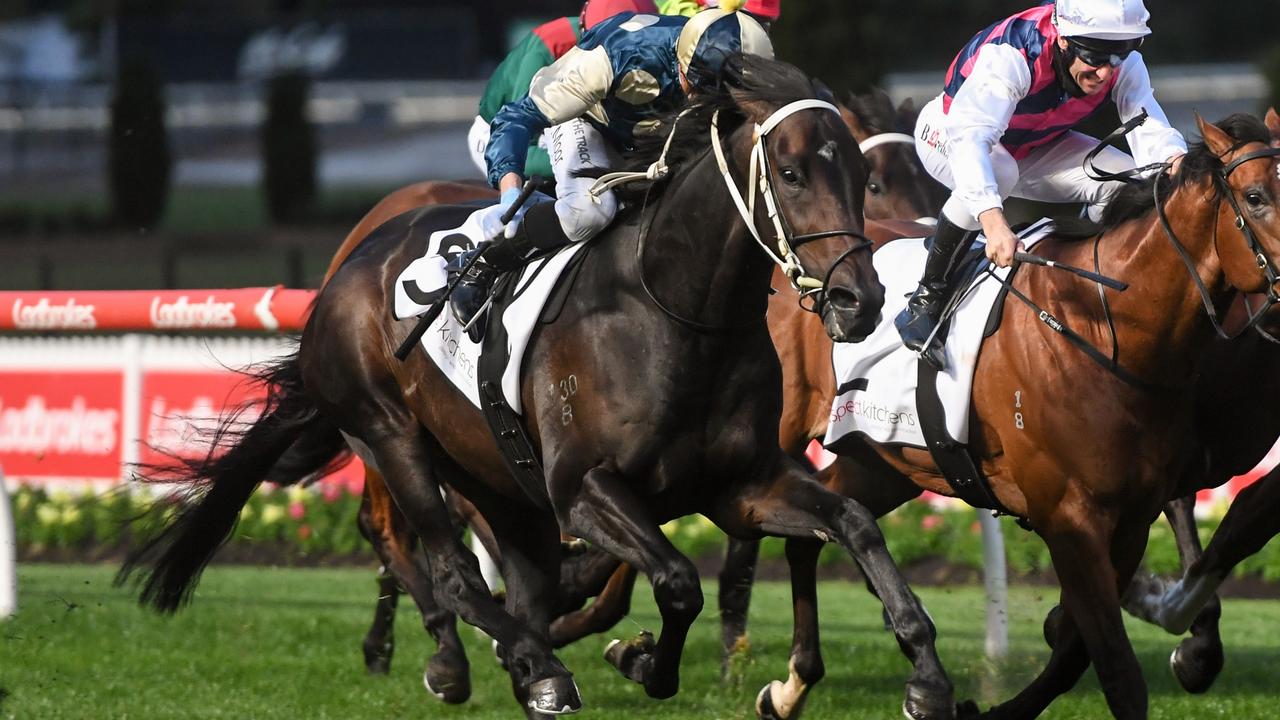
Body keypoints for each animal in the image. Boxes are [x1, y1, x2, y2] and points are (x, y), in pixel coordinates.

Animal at [117, 57, 967, 717]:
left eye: (859, 174)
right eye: (790, 173)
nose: (863, 299)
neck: (680, 314)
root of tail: (347, 267)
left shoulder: (743, 483)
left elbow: (852, 525)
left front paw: (926, 675)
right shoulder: (583, 488)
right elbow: (676, 579)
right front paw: (643, 661)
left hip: (492, 472)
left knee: (516, 579)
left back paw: (519, 659)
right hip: (391, 436)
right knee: (449, 570)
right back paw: (516, 667)